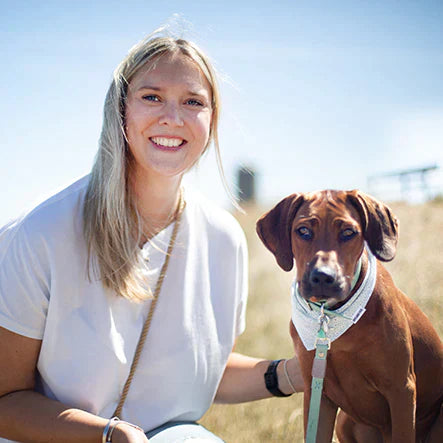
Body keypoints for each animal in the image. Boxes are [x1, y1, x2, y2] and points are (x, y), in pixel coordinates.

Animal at [256, 192, 443, 443]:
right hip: (344, 422)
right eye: (303, 231)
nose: (322, 277)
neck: (331, 316)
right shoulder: (317, 393)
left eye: (348, 232)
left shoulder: (402, 390)